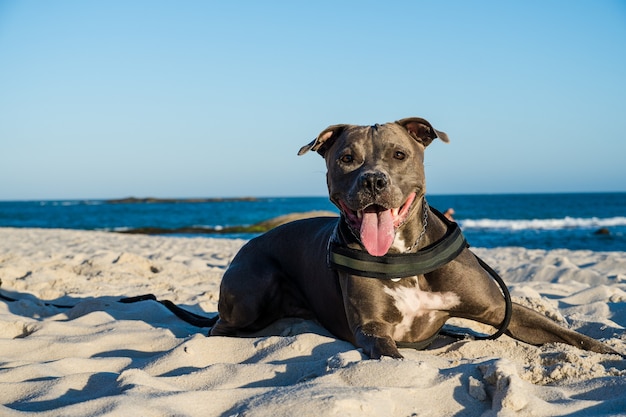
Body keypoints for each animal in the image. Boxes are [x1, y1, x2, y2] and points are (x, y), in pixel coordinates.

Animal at [208, 117, 616, 358]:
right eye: (346, 158)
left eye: (399, 154)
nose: (374, 181)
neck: (404, 255)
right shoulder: (372, 330)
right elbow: (393, 357)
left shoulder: (502, 311)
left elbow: (574, 337)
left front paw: (613, 355)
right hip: (252, 289)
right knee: (218, 327)